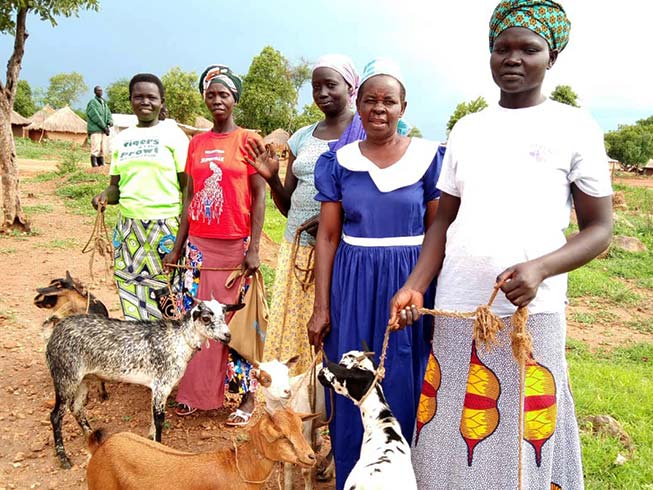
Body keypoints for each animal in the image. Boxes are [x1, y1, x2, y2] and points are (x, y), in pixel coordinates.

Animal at [45, 298, 239, 468]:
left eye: (224, 315)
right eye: (206, 318)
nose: (227, 336)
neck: (179, 340)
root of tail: (55, 333)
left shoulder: (157, 388)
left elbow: (153, 419)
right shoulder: (162, 385)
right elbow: (159, 419)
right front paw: (158, 446)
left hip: (84, 379)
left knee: (76, 408)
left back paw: (91, 434)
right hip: (65, 377)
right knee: (56, 416)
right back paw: (63, 458)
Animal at [255, 356, 334, 490]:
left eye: (287, 373)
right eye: (266, 379)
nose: (287, 391)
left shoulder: (306, 433)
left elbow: (305, 470)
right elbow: (288, 464)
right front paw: (288, 485)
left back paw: (328, 472)